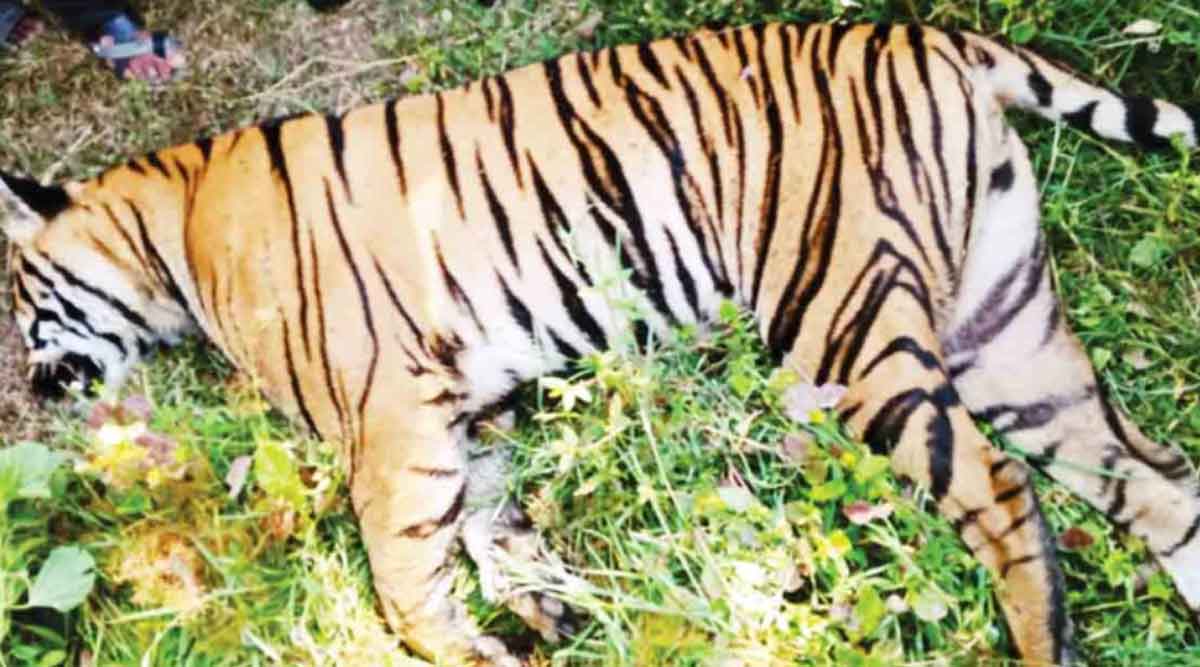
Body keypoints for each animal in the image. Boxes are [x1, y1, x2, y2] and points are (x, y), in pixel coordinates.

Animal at [1, 20, 1198, 666]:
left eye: (17, 300)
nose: (34, 387)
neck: (169, 237)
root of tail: (923, 31)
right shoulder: (464, 405)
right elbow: (489, 528)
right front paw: (549, 615)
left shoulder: (386, 414)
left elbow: (403, 569)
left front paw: (465, 641)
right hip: (1005, 329)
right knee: (1157, 480)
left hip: (845, 325)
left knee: (997, 487)